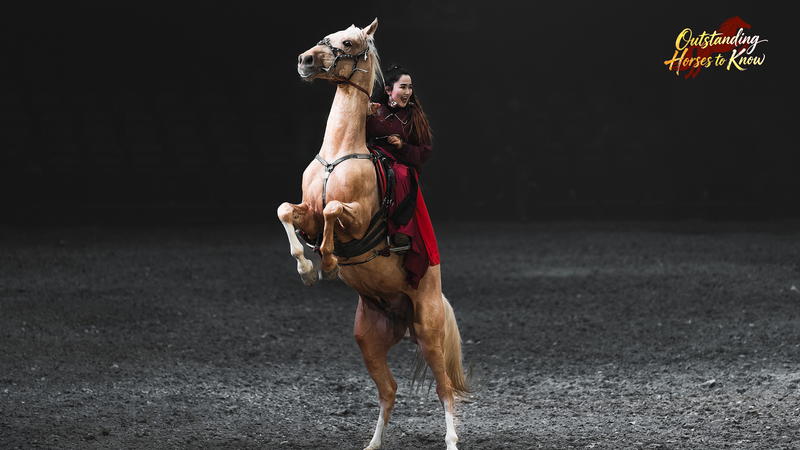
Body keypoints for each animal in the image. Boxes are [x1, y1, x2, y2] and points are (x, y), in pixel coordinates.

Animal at [277, 18, 476, 450]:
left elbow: (335, 211)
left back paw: (452, 440)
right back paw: (373, 444)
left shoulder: (355, 219)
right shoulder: (307, 213)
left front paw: (329, 263)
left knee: (445, 390)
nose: (305, 60)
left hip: (430, 334)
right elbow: (287, 210)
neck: (339, 154)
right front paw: (306, 267)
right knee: (389, 390)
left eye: (350, 42)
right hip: (369, 340)